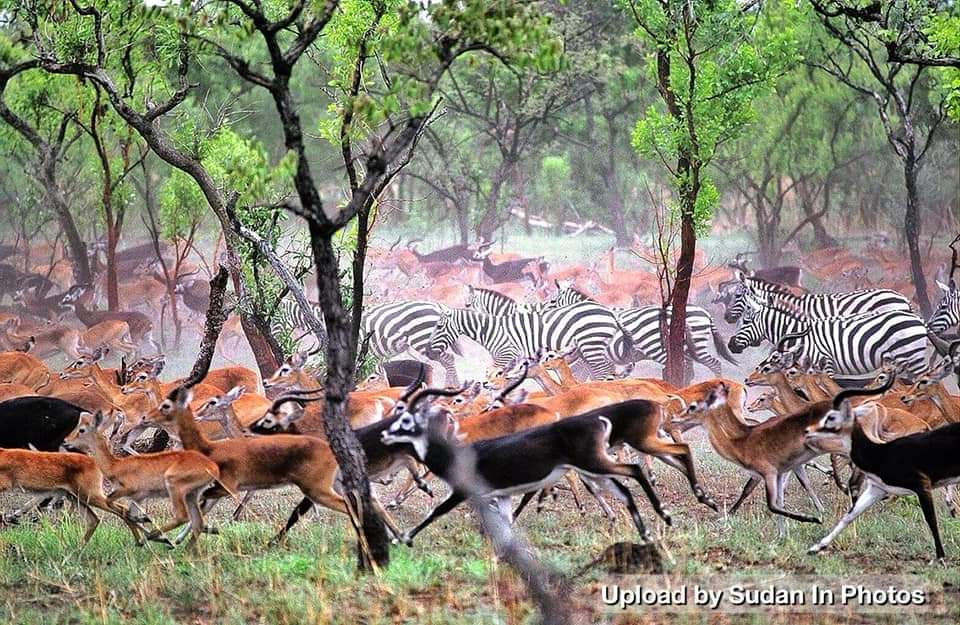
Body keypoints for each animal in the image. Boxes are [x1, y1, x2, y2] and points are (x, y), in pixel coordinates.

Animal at [63, 412, 223, 548]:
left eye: (82, 429)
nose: (66, 441)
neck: (115, 465)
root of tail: (212, 466)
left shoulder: (127, 491)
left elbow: (115, 505)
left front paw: (146, 532)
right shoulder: (137, 498)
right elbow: (128, 513)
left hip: (176, 489)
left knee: (182, 516)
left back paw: (159, 539)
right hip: (192, 494)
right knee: (197, 520)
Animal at [426, 302, 632, 376]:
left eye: (438, 327)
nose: (428, 352)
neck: (491, 331)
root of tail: (609, 312)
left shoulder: (505, 355)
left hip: (591, 346)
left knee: (603, 371)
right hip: (592, 348)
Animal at [728, 294, 928, 380]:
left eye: (745, 321)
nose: (730, 345)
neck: (798, 335)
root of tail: (918, 319)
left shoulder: (826, 365)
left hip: (915, 359)